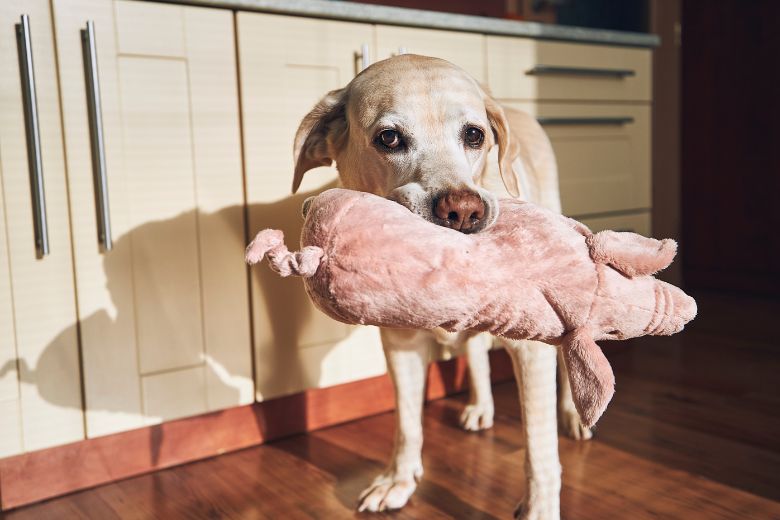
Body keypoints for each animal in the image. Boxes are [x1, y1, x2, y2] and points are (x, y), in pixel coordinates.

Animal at [292, 54, 592, 516]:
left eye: (474, 135)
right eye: (389, 137)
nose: (463, 211)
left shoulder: (530, 349)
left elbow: (539, 447)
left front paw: (540, 509)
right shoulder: (400, 343)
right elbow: (407, 423)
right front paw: (397, 479)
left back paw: (573, 417)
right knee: (476, 350)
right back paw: (480, 406)